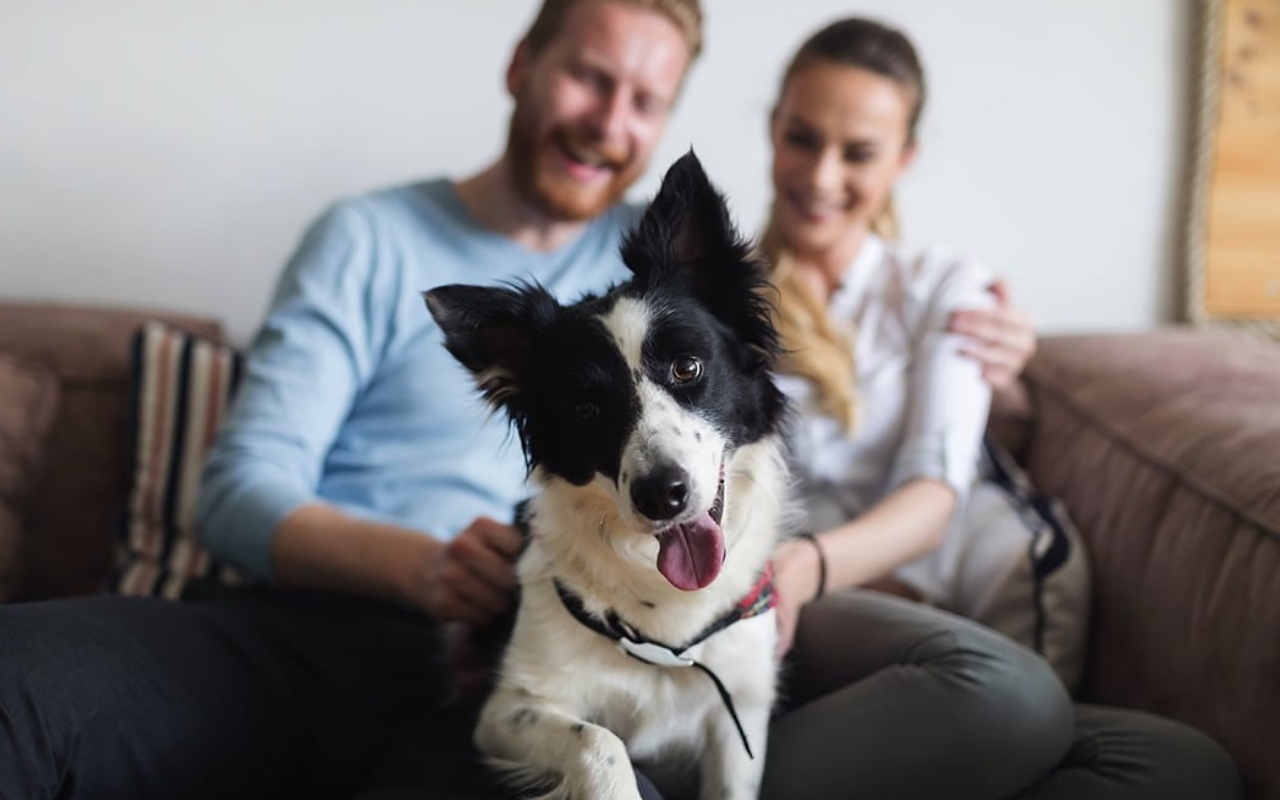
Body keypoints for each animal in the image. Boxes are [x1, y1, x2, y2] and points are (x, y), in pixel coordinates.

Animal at [427, 151, 788, 798]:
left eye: (688, 367)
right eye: (586, 410)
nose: (662, 496)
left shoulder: (739, 718)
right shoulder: (506, 709)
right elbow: (600, 742)